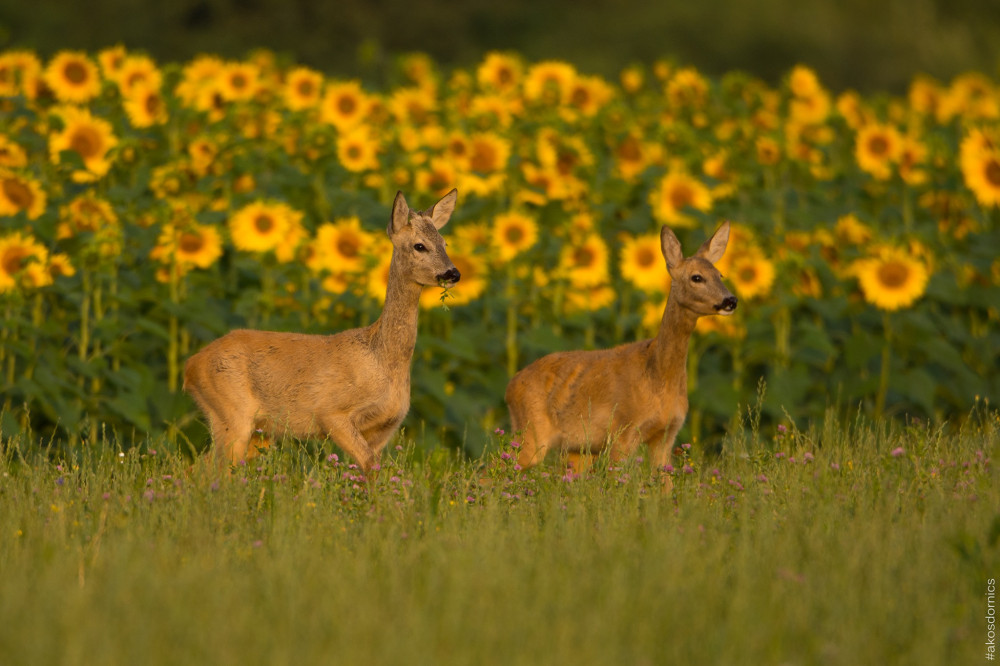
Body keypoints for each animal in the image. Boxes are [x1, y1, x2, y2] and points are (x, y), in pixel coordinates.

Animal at [186, 189, 462, 470]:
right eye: (420, 245)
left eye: (445, 244)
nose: (453, 273)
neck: (382, 359)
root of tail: (191, 365)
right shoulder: (331, 412)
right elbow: (367, 463)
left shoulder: (385, 428)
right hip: (232, 412)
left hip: (254, 430)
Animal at [508, 220, 736, 486]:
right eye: (696, 277)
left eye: (720, 275)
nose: (731, 300)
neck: (658, 377)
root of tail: (510, 386)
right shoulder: (623, 432)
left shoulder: (667, 435)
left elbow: (666, 487)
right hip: (531, 433)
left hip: (576, 450)